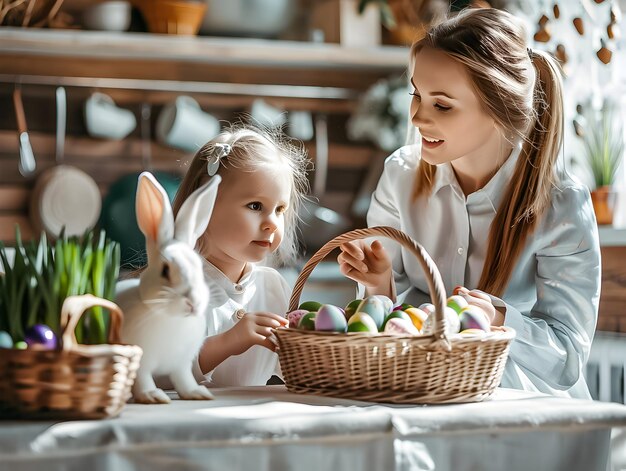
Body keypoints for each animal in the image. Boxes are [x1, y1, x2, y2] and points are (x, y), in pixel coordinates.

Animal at [116, 171, 221, 404]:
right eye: (165, 270)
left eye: (199, 267)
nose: (193, 302)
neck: (172, 318)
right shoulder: (141, 362)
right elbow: (143, 379)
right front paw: (153, 396)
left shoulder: (181, 364)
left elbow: (183, 379)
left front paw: (197, 393)